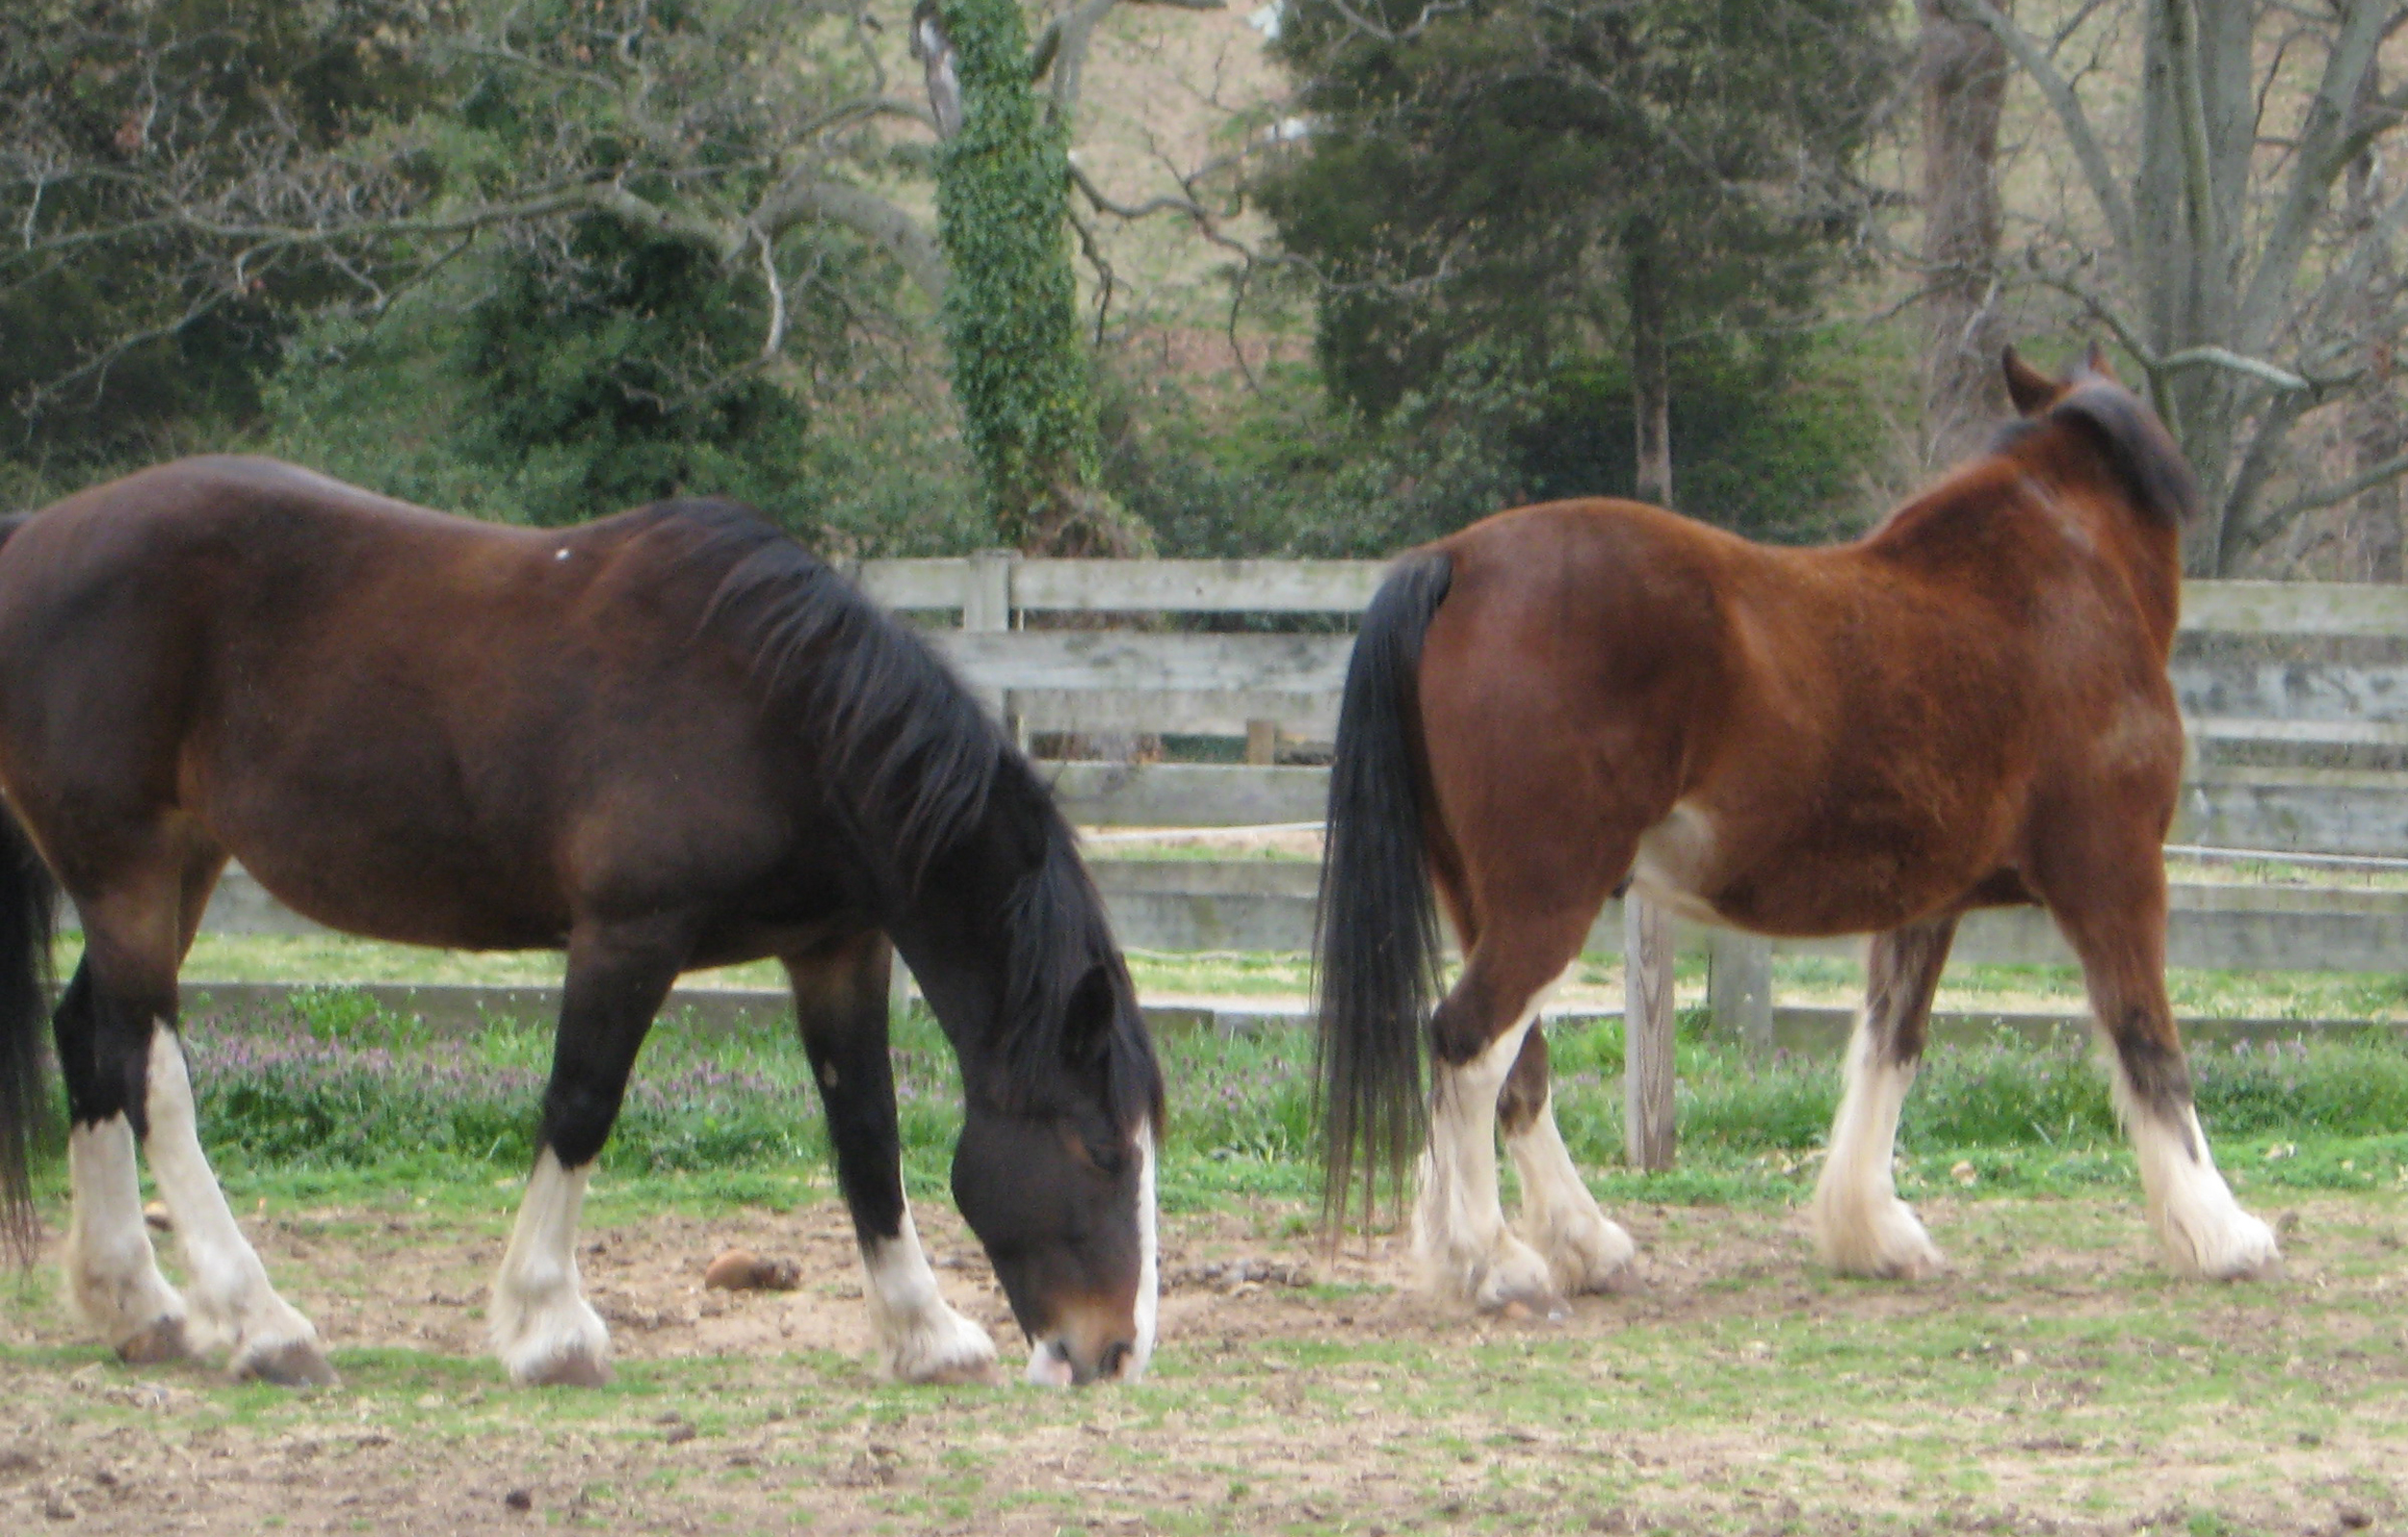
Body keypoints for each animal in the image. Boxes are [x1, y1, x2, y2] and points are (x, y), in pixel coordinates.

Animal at [0, 455, 1165, 1387]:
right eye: (1102, 1152)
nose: (1112, 1351)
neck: (782, 716)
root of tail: (32, 538)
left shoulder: (836, 948)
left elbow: (867, 1131)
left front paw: (925, 1334)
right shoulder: (627, 935)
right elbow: (581, 1105)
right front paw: (548, 1327)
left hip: (175, 871)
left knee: (89, 1040)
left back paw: (137, 1305)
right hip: (129, 869)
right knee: (151, 1072)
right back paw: (261, 1324)